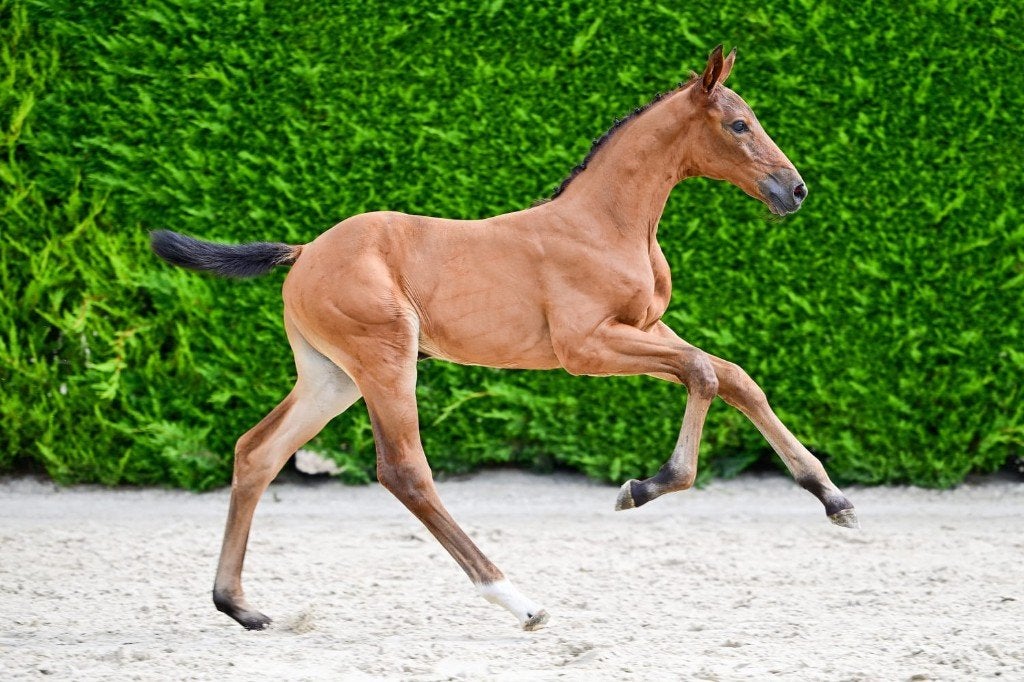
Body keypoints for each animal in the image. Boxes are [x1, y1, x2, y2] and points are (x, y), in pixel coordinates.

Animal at [151, 46, 858, 633]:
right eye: (739, 125)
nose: (795, 189)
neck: (606, 224)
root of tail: (303, 253)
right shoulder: (586, 348)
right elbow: (704, 374)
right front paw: (646, 485)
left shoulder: (644, 328)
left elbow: (734, 376)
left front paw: (833, 497)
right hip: (385, 360)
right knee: (404, 470)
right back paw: (518, 599)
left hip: (331, 376)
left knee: (257, 452)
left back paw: (240, 606)